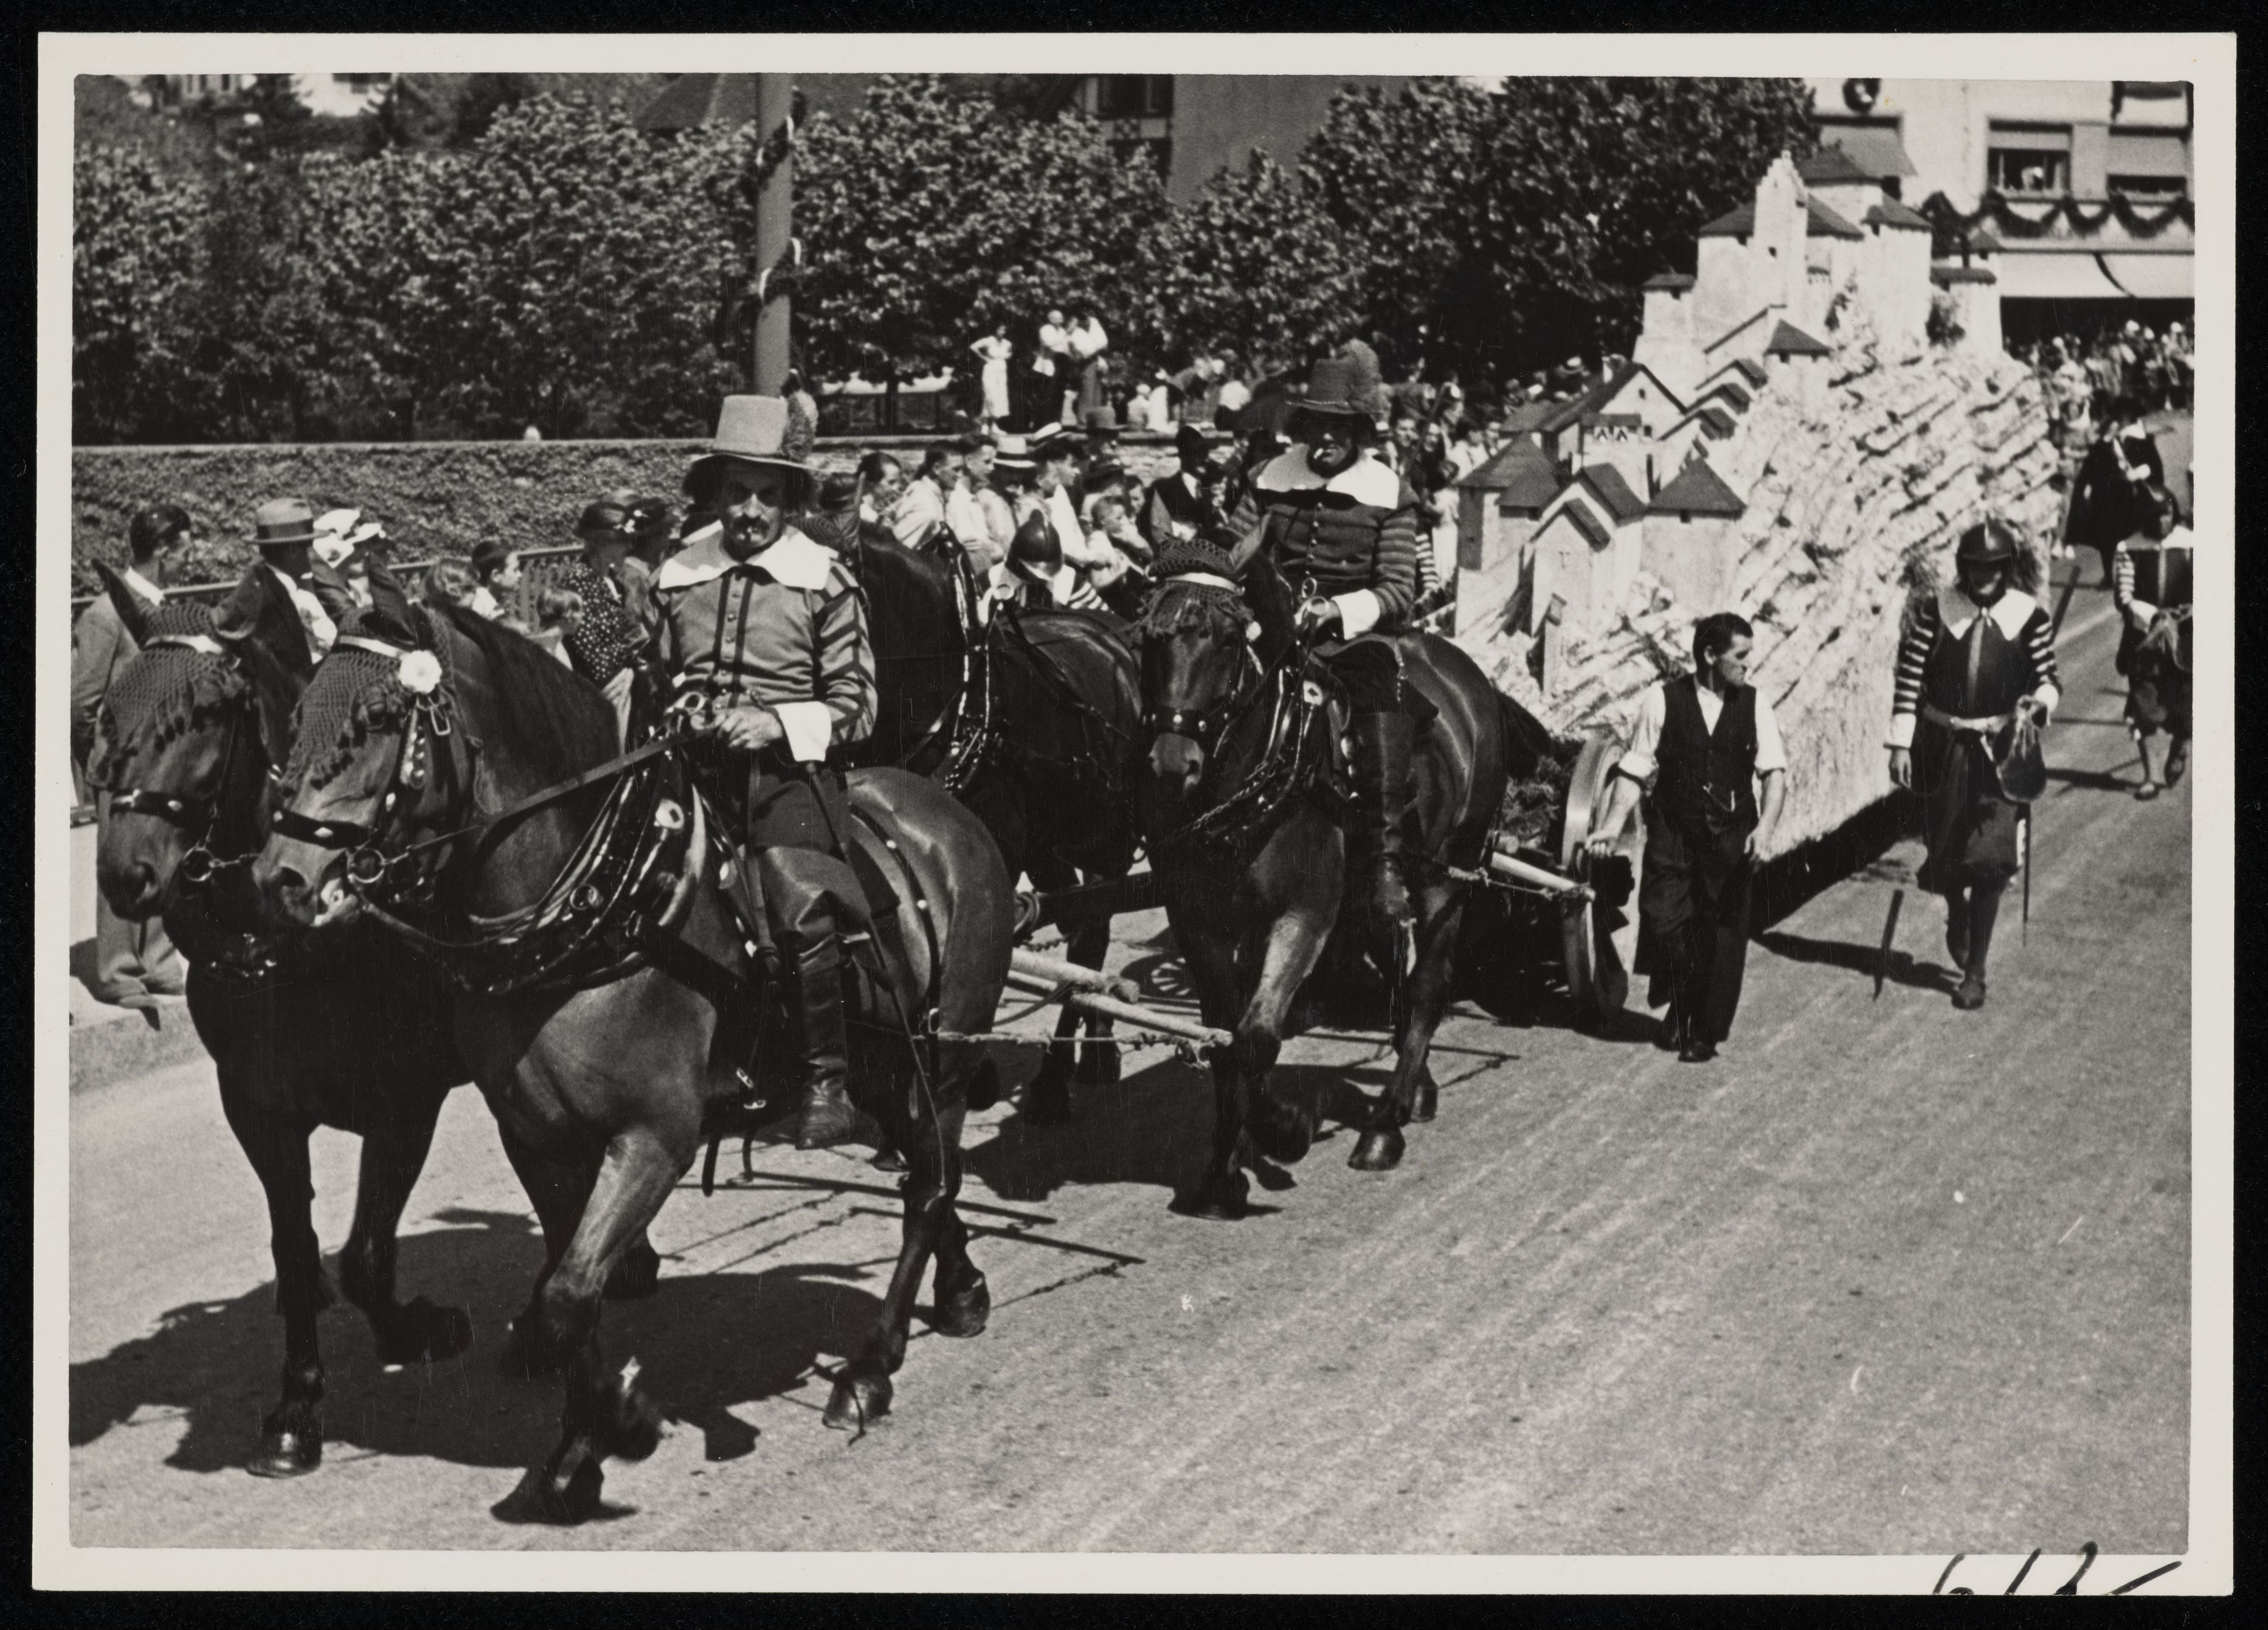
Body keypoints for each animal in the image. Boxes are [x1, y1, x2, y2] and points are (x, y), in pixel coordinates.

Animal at [82, 568, 483, 1480]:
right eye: (110, 711)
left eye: (205, 712)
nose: (125, 874)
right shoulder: (257, 1106)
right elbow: (297, 1254)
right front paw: (298, 1405)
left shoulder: (404, 1100)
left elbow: (367, 1254)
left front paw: (414, 1327)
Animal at [250, 591, 1015, 1523]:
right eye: (294, 719)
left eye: (380, 719)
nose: (280, 879)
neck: (599, 913)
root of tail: (940, 810)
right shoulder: (538, 1140)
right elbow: (564, 1292)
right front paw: (579, 1451)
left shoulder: (654, 1138)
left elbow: (571, 1290)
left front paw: (625, 1420)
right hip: (888, 1072)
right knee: (929, 1178)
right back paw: (960, 1289)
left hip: (938, 1059)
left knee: (928, 1186)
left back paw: (870, 1368)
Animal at [846, 530, 1144, 1122]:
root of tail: (1110, 636)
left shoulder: (993, 850)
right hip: (1046, 845)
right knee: (1079, 918)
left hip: (1106, 835)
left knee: (1093, 930)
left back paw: (1067, 1070)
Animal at [1132, 560, 1509, 1218]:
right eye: (1150, 637)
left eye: (1225, 641)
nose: (1172, 763)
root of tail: (1460, 669)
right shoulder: (1199, 926)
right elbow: (1228, 1039)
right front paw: (1223, 1168)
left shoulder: (1302, 916)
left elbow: (1257, 1036)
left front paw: (1285, 1129)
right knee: (1400, 972)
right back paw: (1417, 1090)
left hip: (1446, 874)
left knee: (1426, 987)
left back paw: (1386, 1123)